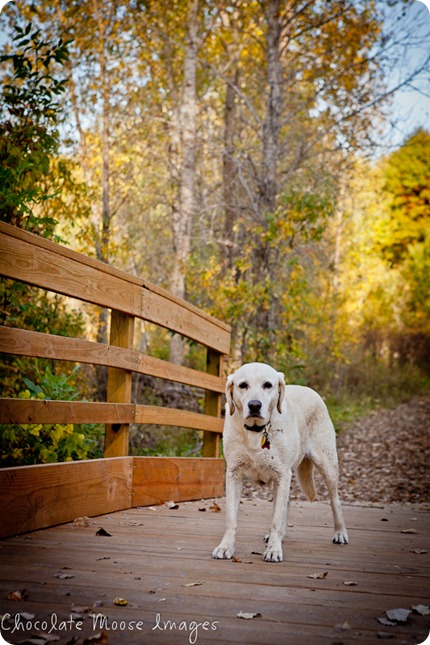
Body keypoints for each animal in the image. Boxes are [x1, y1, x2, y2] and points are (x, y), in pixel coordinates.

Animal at [212, 364, 350, 560]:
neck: (256, 432)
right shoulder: (233, 474)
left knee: (334, 500)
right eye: (243, 385)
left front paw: (273, 549)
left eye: (268, 385)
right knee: (287, 503)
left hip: (327, 464)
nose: (254, 405)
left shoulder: (282, 475)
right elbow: (231, 519)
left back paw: (340, 532)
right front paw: (226, 547)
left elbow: (276, 519)